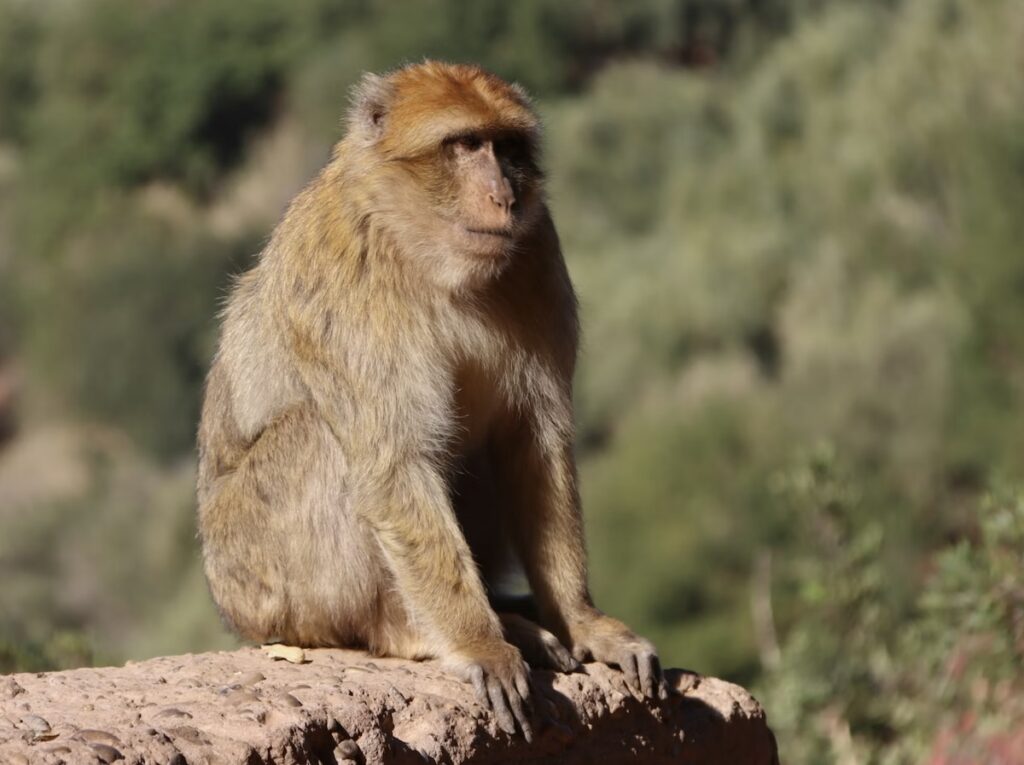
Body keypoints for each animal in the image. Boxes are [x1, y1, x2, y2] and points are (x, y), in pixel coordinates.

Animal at [197, 61, 667, 740]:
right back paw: (411, 629)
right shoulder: (352, 281)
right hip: (262, 583)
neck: (422, 246)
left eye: (507, 147)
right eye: (464, 144)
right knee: (321, 437)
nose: (505, 197)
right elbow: (394, 461)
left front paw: (581, 620)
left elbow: (533, 443)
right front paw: (479, 643)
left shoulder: (538, 253)